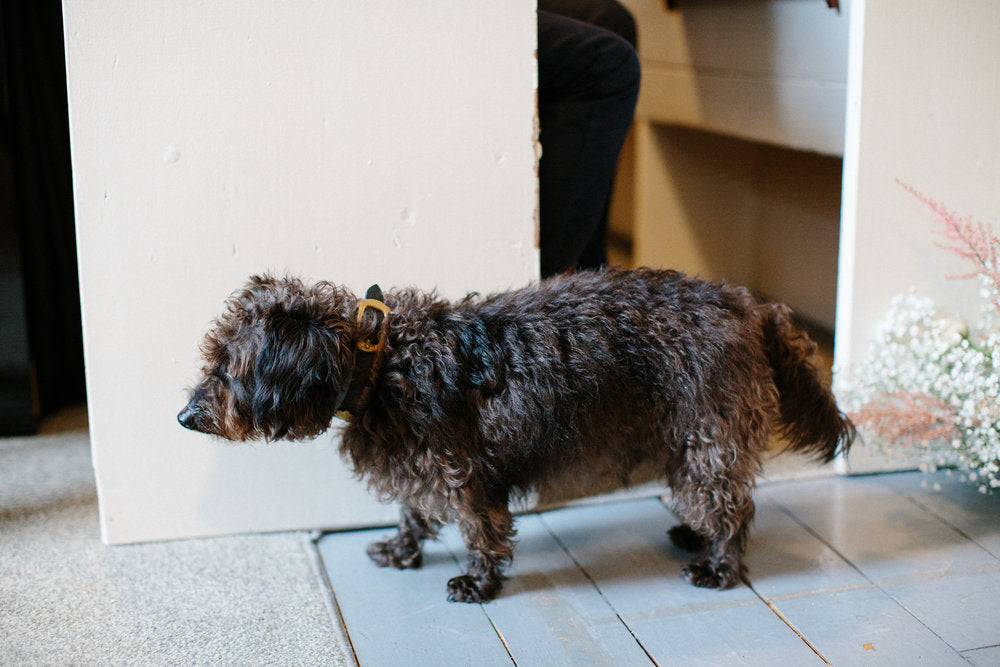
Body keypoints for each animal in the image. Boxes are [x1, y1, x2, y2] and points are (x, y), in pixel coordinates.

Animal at [178, 268, 852, 604]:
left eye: (226, 370)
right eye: (211, 361)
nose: (184, 417)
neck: (383, 361)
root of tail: (750, 305)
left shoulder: (468, 473)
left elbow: (481, 531)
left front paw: (478, 583)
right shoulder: (418, 466)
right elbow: (411, 511)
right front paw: (402, 550)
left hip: (709, 433)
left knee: (734, 505)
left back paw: (720, 566)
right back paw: (694, 534)